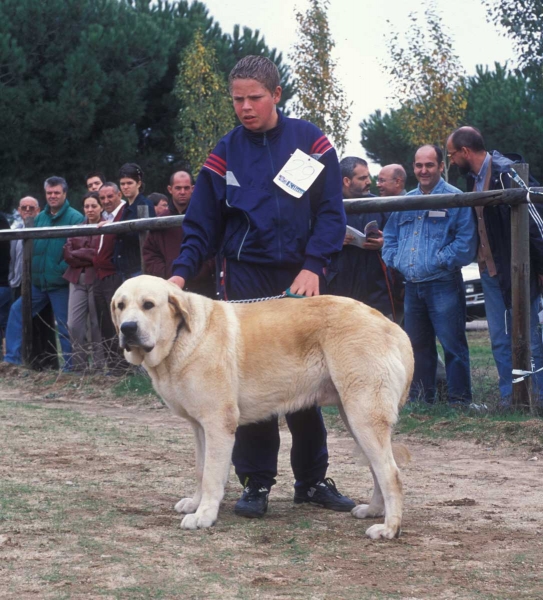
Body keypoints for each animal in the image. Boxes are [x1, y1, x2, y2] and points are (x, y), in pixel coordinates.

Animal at [111, 276, 416, 540]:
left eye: (148, 305)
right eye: (120, 306)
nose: (127, 328)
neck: (179, 337)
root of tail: (392, 326)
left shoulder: (218, 424)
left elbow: (211, 476)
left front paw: (204, 516)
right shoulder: (199, 427)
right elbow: (200, 469)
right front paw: (196, 504)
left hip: (363, 416)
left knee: (391, 474)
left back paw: (389, 528)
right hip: (354, 418)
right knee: (378, 469)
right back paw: (374, 511)